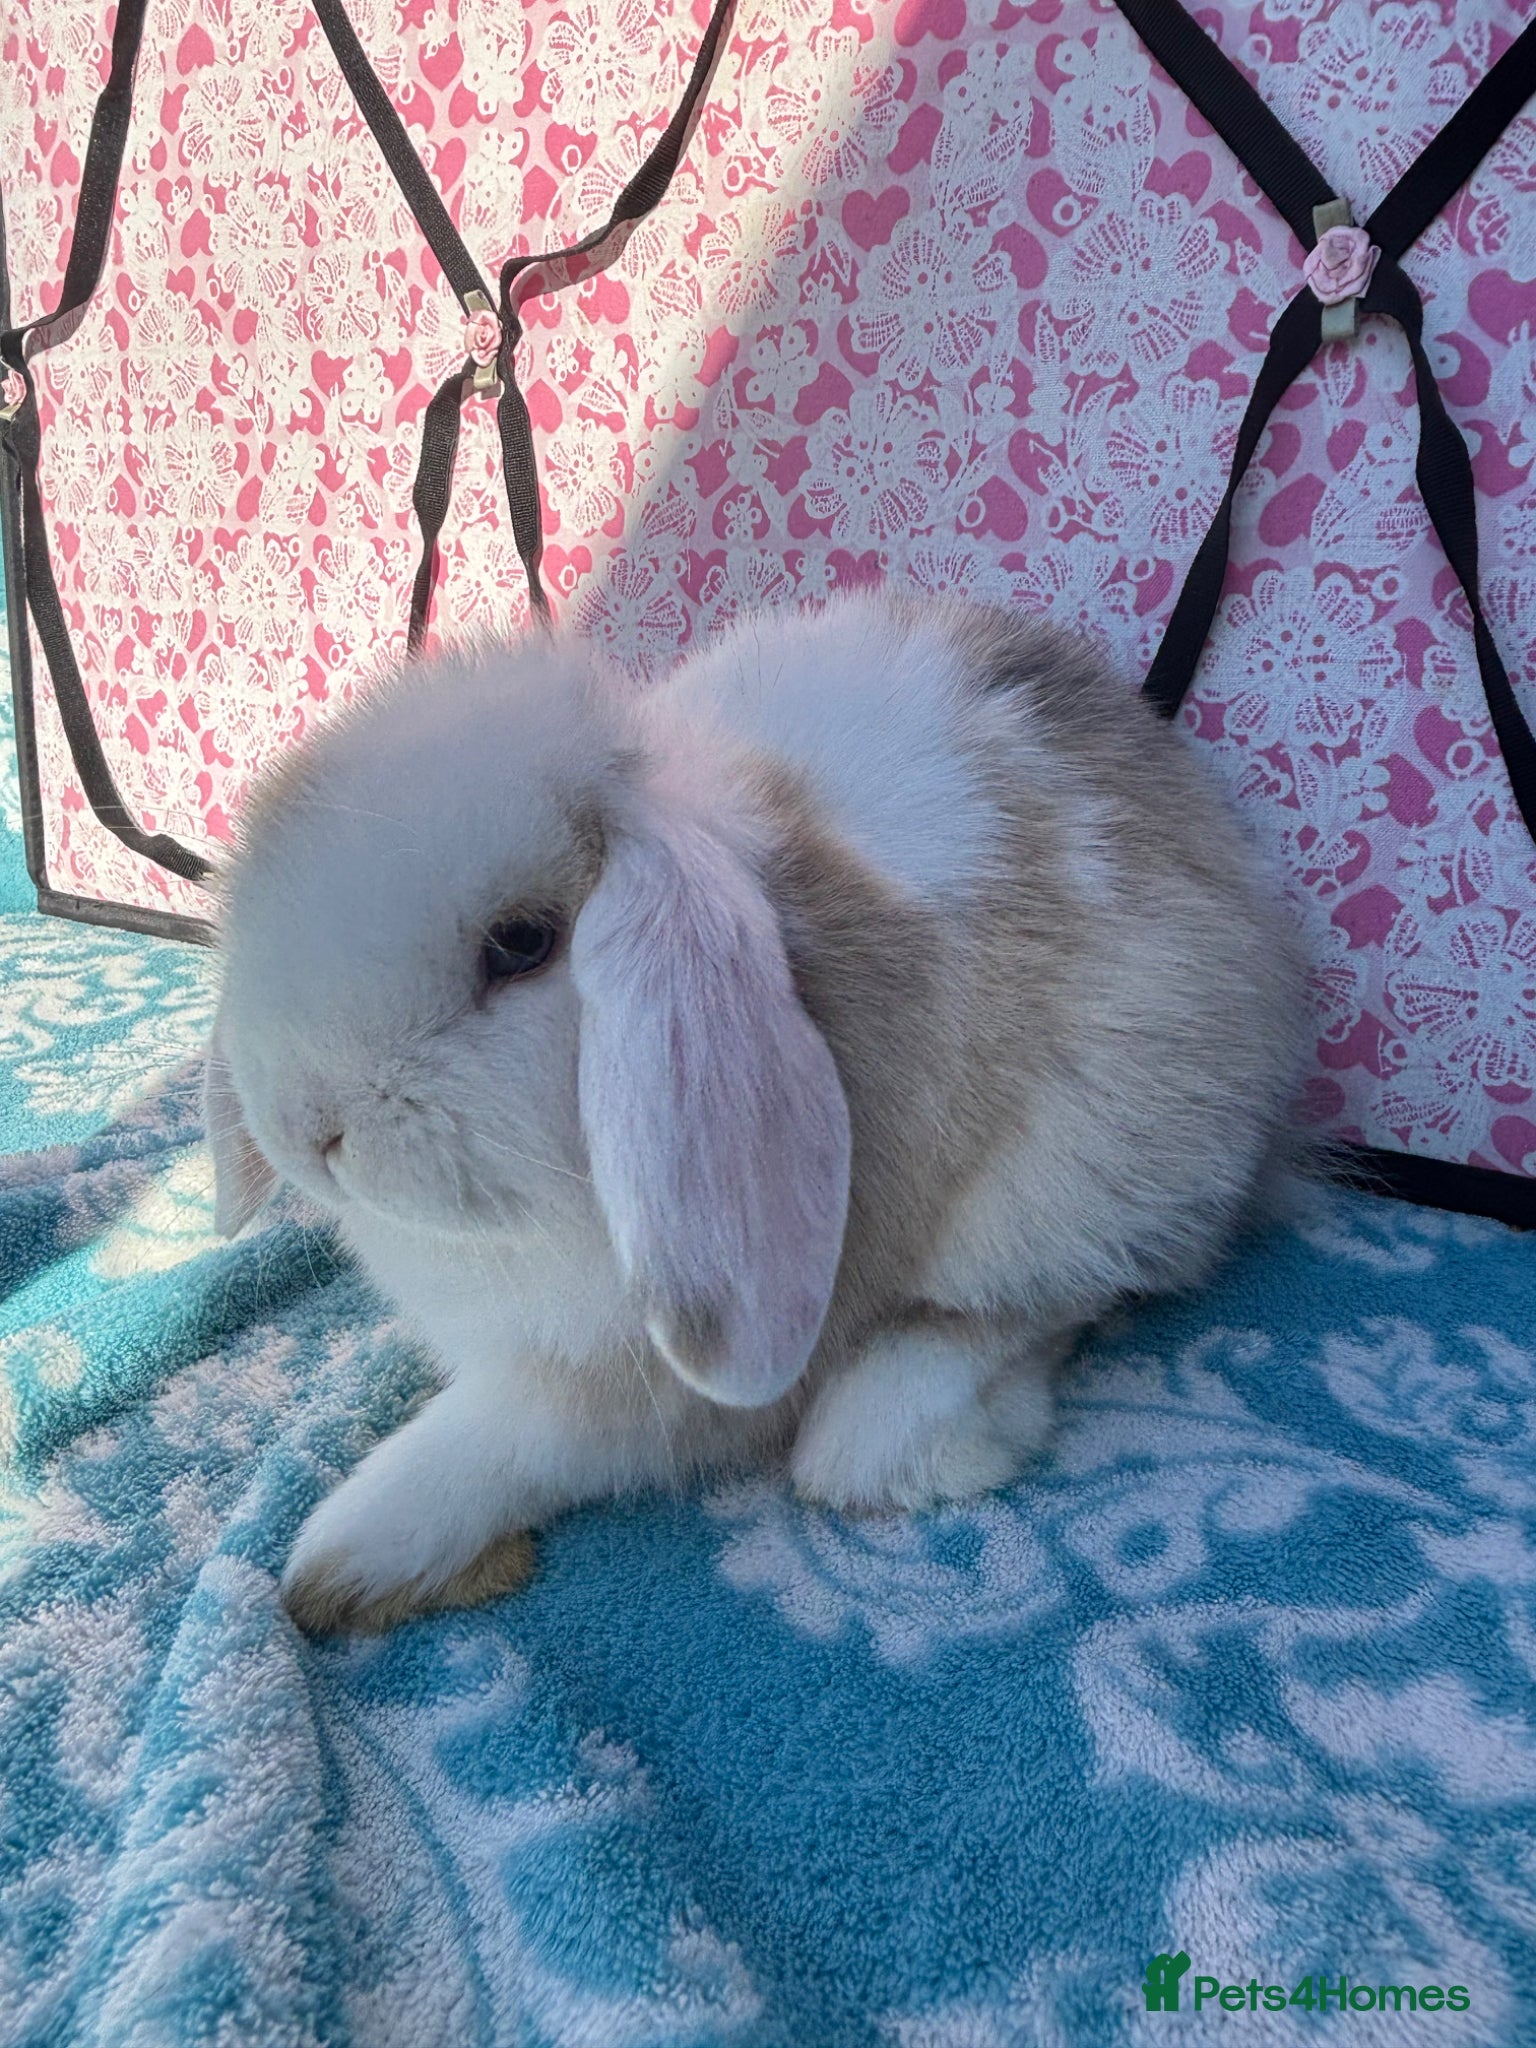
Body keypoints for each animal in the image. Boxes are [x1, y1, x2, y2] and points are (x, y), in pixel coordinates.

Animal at [204, 590, 1311, 1634]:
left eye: (521, 943)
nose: (306, 1125)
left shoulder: (638, 1384)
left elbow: (504, 1438)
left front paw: (341, 1555)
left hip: (1092, 1163)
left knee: (1047, 1303)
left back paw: (893, 1435)